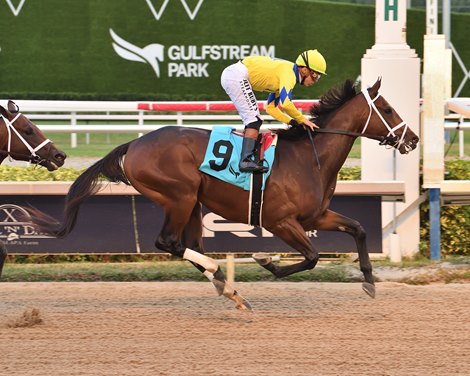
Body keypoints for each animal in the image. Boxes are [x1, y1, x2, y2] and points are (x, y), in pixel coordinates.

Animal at [24, 78, 418, 308]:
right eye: (386, 109)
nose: (412, 139)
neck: (310, 156)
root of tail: (134, 144)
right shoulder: (279, 221)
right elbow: (311, 257)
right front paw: (267, 261)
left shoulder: (316, 215)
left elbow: (359, 229)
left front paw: (369, 281)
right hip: (180, 196)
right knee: (169, 242)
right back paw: (222, 279)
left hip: (193, 202)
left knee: (188, 244)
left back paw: (226, 287)